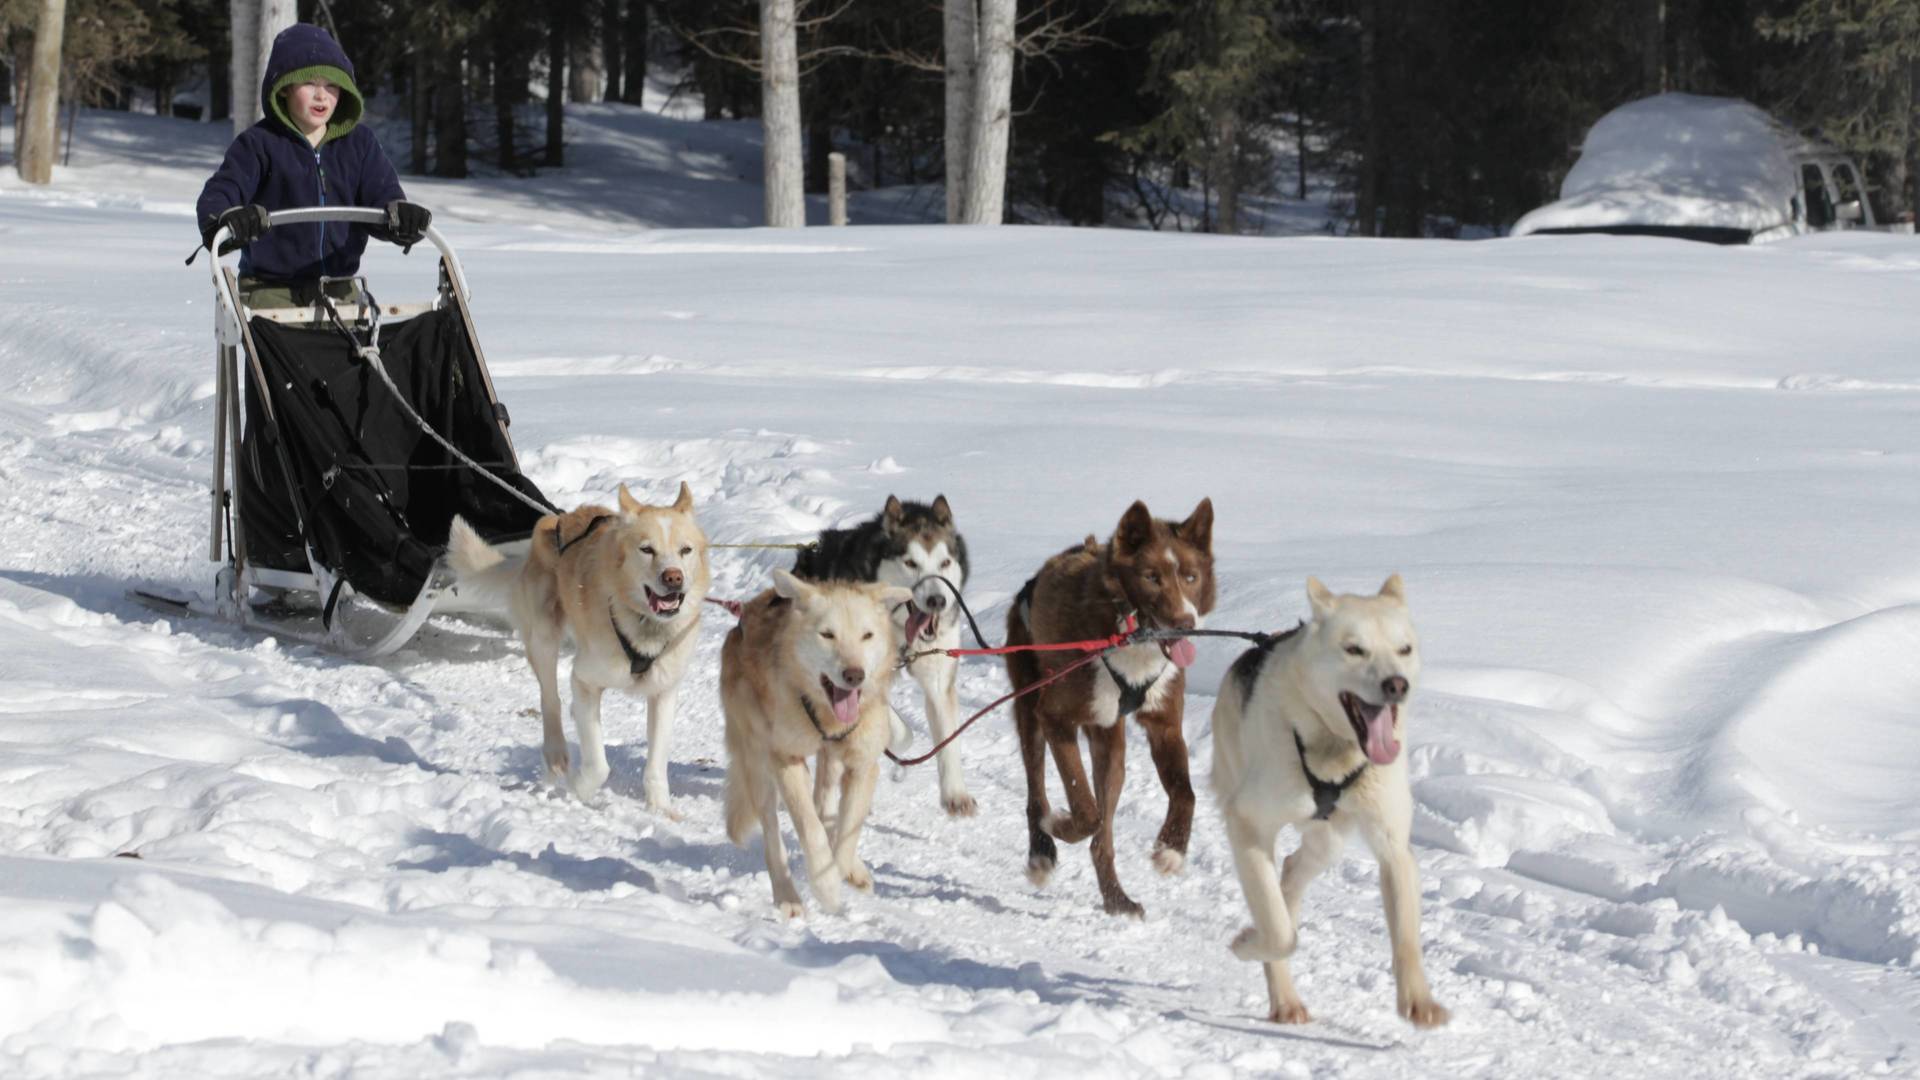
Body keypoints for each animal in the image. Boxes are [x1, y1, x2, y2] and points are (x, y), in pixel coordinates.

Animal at [445, 478, 710, 807]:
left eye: (685, 550)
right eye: (647, 549)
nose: (673, 577)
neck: (641, 624)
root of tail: (556, 519)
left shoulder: (663, 692)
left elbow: (656, 763)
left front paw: (661, 808)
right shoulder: (585, 679)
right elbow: (598, 764)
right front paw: (579, 789)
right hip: (544, 638)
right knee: (551, 700)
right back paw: (556, 752)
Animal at [725, 568, 913, 910]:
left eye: (867, 636)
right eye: (827, 635)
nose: (854, 675)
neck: (827, 716)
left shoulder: (863, 766)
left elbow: (847, 833)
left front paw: (840, 870)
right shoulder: (786, 759)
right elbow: (809, 828)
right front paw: (825, 886)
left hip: (832, 762)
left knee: (825, 806)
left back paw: (854, 869)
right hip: (758, 763)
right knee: (773, 833)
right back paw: (787, 896)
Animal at [1006, 495, 1213, 907]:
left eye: (1191, 577)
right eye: (1151, 577)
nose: (1185, 624)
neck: (1130, 635)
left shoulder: (1165, 725)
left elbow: (1186, 793)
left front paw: (1172, 849)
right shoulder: (1055, 717)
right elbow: (1085, 810)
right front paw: (1060, 823)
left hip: (1110, 745)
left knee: (1103, 836)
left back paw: (1117, 899)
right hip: (1031, 711)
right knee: (1038, 793)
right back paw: (1041, 850)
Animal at [1205, 572, 1443, 1022]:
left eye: (1404, 649)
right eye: (1354, 649)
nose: (1396, 684)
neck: (1334, 748)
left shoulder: (1393, 847)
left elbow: (1406, 938)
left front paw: (1418, 1000)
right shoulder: (1246, 824)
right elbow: (1280, 932)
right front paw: (1248, 943)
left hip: (1328, 841)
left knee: (1290, 874)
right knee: (1279, 907)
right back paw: (1282, 992)